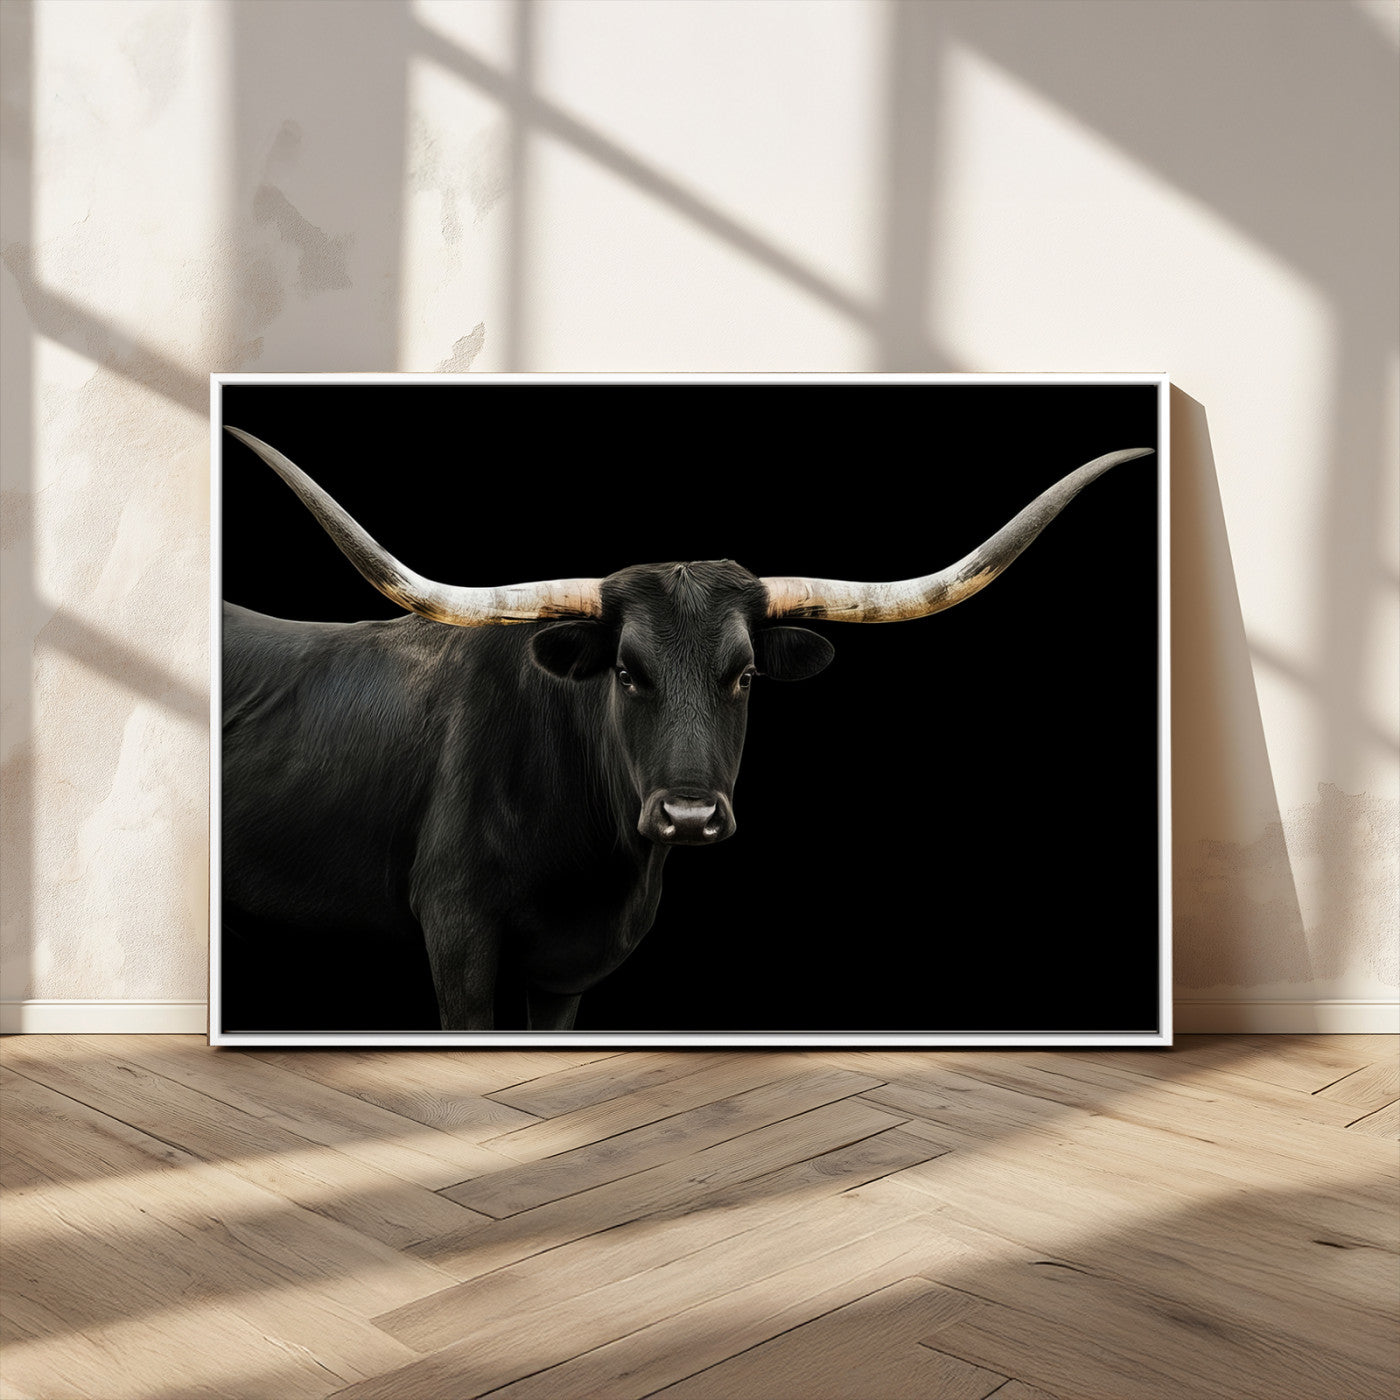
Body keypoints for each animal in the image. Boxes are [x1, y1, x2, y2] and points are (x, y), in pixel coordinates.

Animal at [220, 427, 1151, 1031]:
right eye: (628, 672)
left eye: (743, 676)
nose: (691, 815)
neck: (599, 873)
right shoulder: (457, 936)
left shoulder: (564, 974)